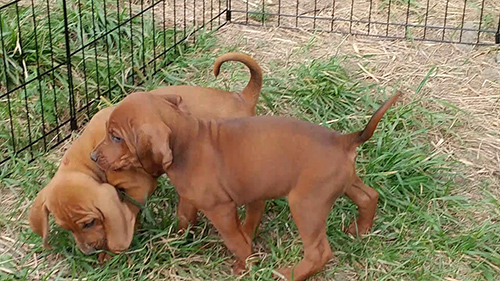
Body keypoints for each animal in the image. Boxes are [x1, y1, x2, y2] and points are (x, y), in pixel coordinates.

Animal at [29, 51, 266, 260]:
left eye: (89, 223)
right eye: (66, 228)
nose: (88, 253)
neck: (86, 162)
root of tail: (242, 98)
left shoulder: (139, 187)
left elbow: (126, 215)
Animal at [91, 90, 402, 278]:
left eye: (116, 137)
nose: (93, 156)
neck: (187, 141)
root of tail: (344, 139)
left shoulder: (221, 209)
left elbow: (236, 240)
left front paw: (244, 266)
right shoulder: (191, 198)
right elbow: (184, 218)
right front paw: (178, 240)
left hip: (306, 205)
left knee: (319, 253)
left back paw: (288, 273)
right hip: (343, 183)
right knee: (369, 196)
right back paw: (360, 231)